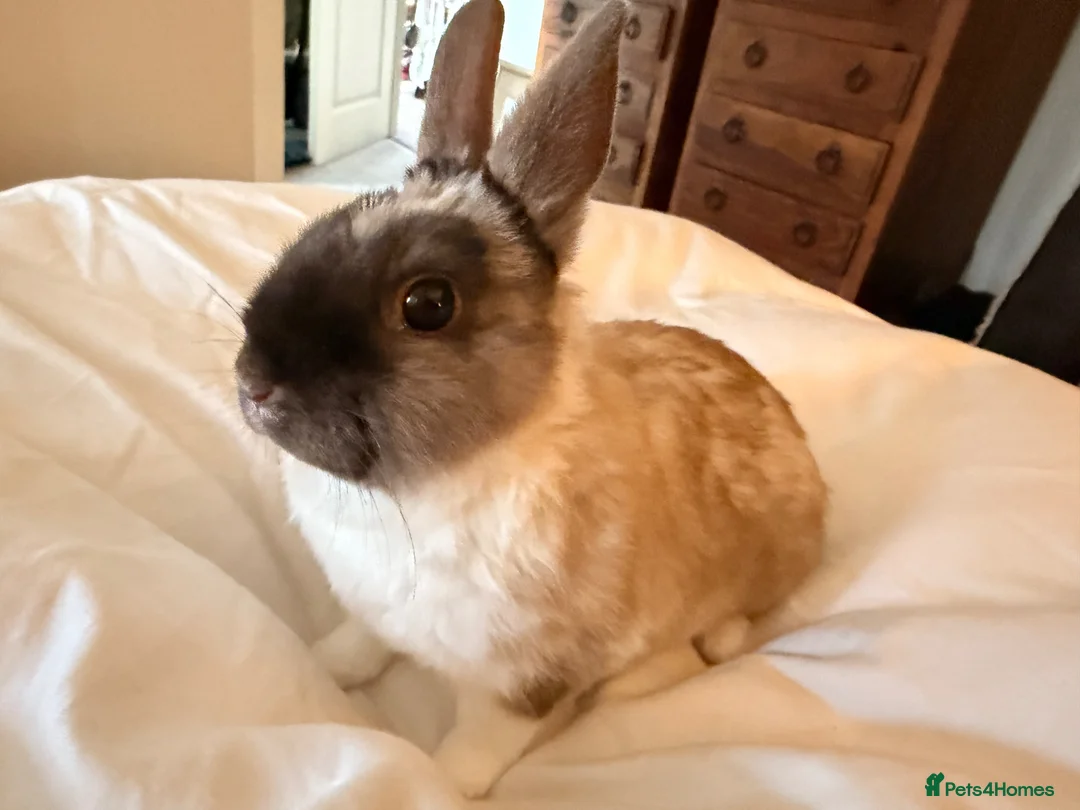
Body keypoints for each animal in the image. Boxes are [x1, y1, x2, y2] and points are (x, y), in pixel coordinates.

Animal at [233, 0, 826, 798]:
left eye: (428, 304)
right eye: (322, 229)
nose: (253, 382)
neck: (435, 481)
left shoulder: (526, 682)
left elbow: (476, 748)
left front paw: (439, 783)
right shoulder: (375, 613)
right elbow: (361, 642)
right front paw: (325, 664)